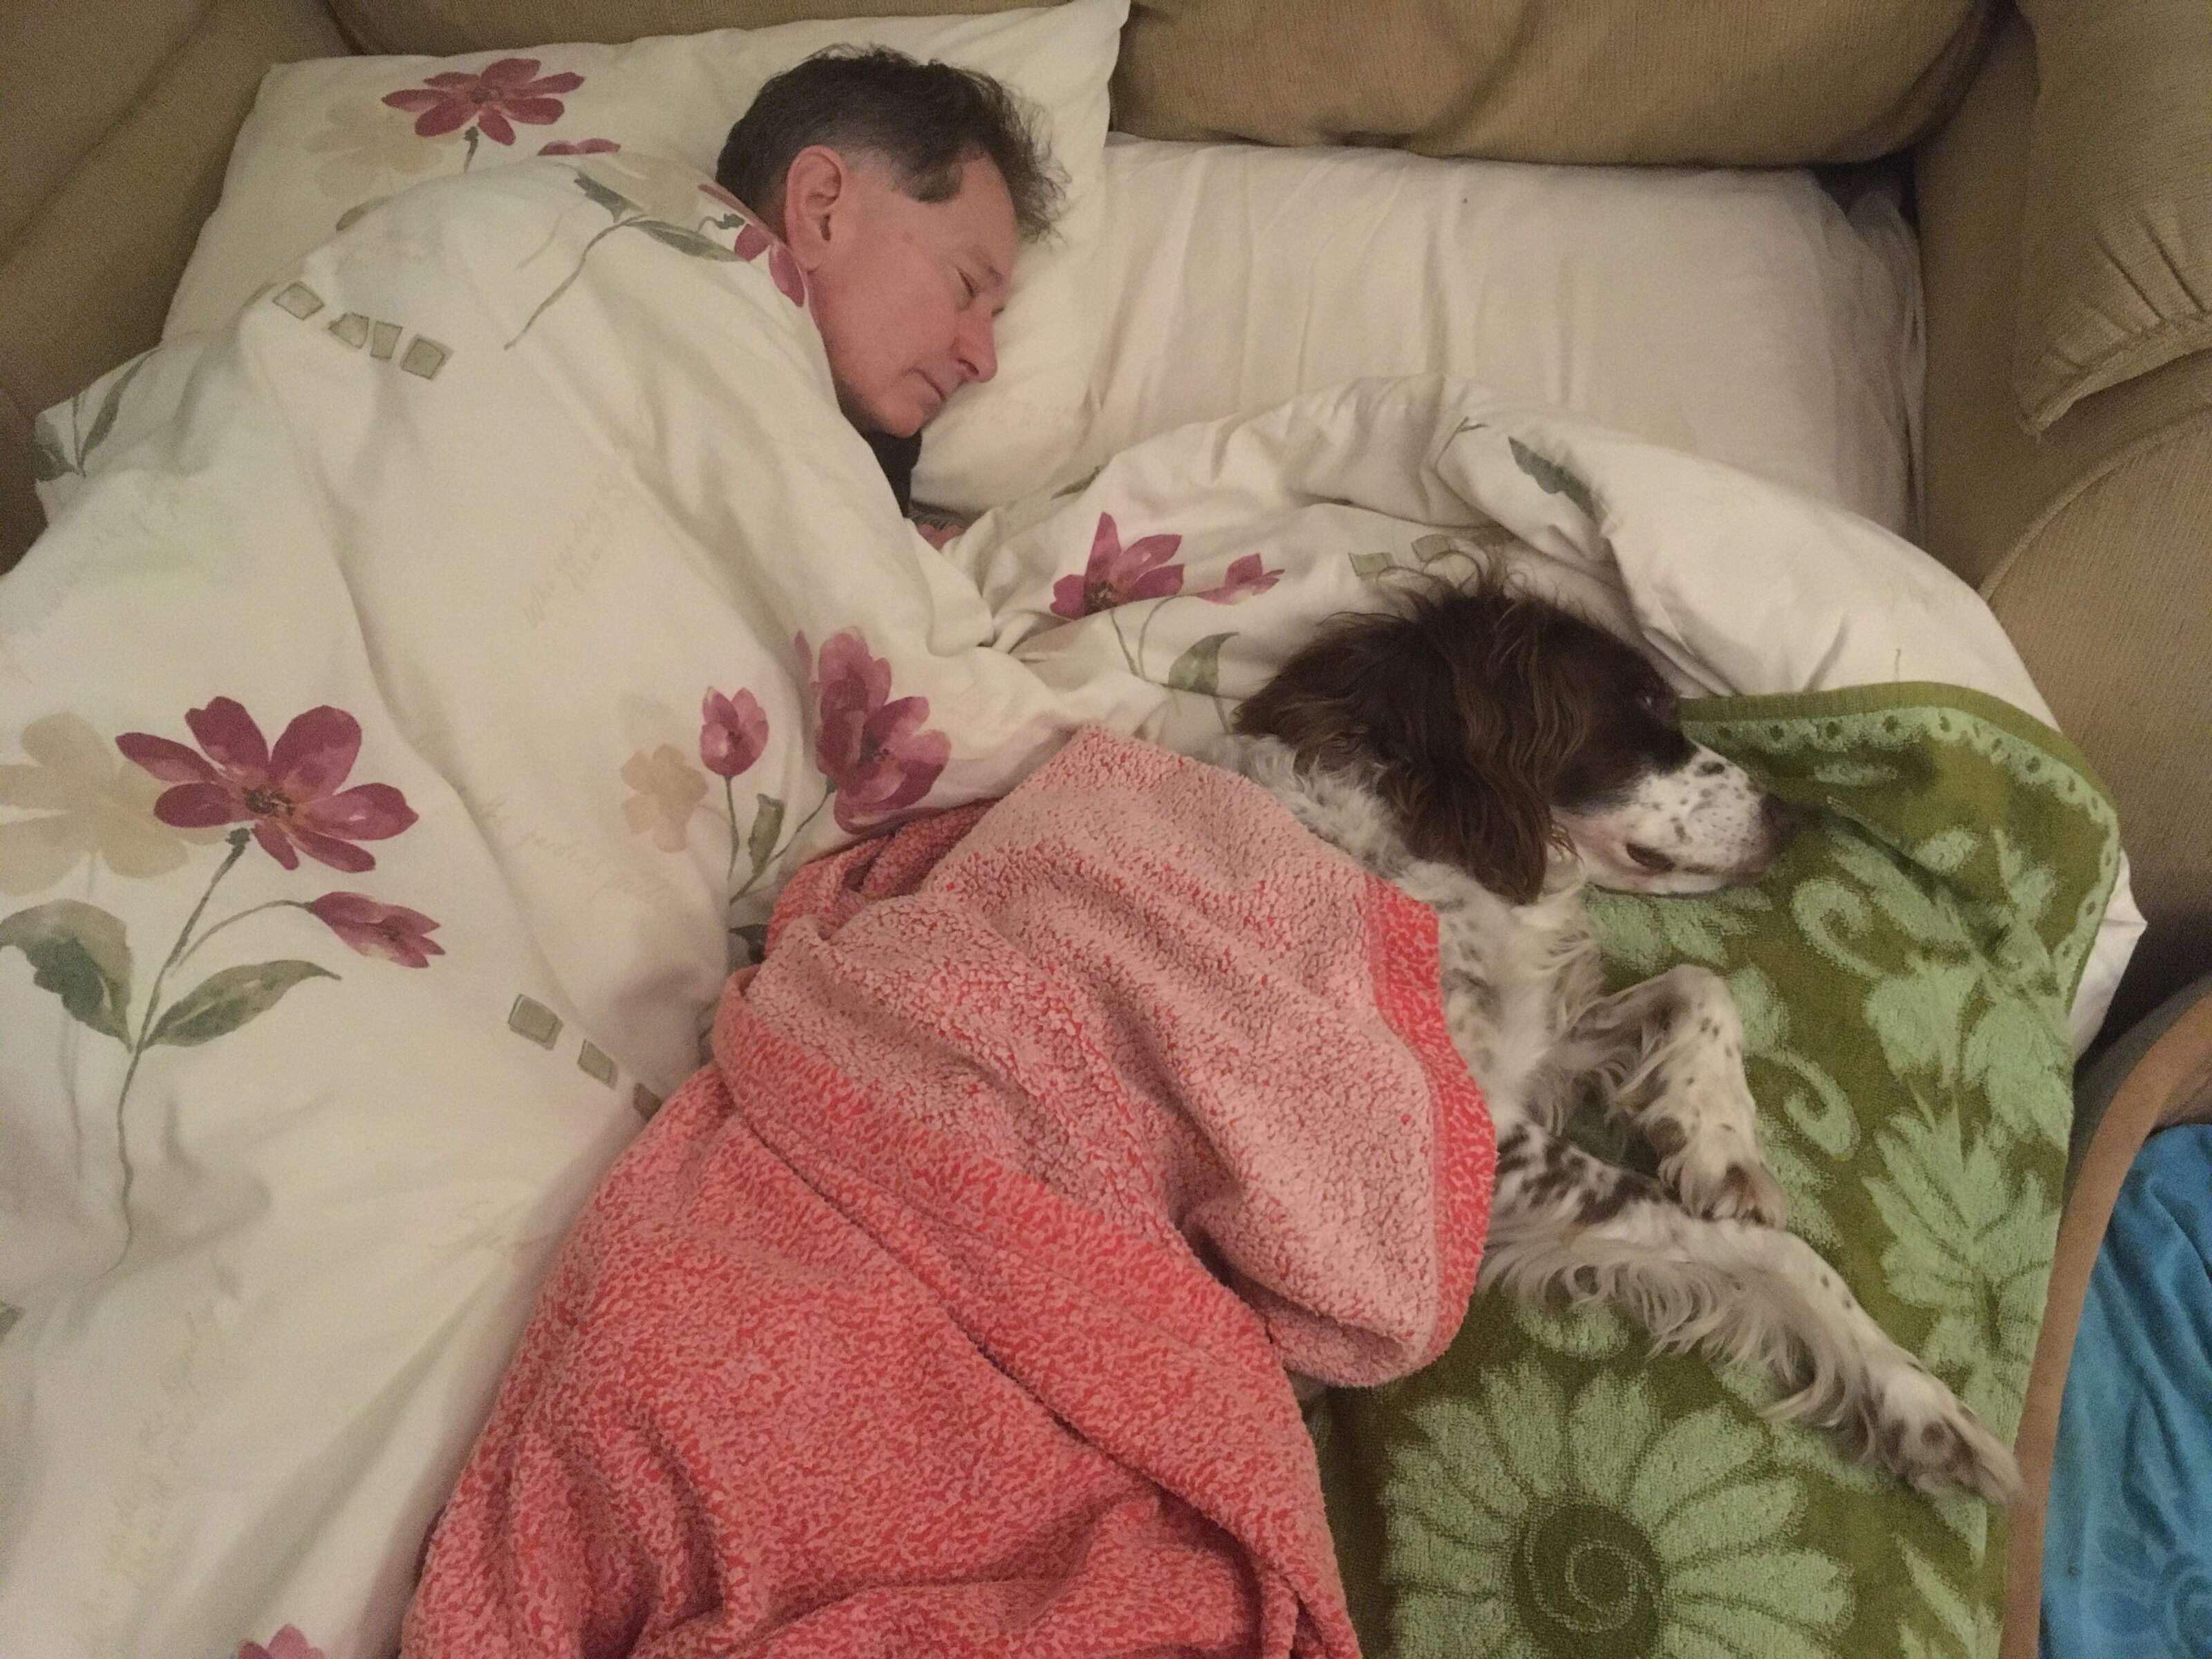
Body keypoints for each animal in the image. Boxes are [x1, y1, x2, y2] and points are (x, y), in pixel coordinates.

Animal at [1212, 575, 2026, 1504]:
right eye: (1641, 705)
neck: (1399, 840)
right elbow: (1776, 1249)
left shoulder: (1530, 1050)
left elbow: (1700, 984)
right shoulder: (1468, 1143)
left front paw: (1713, 1140)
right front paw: (1916, 1403)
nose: (1789, 818)